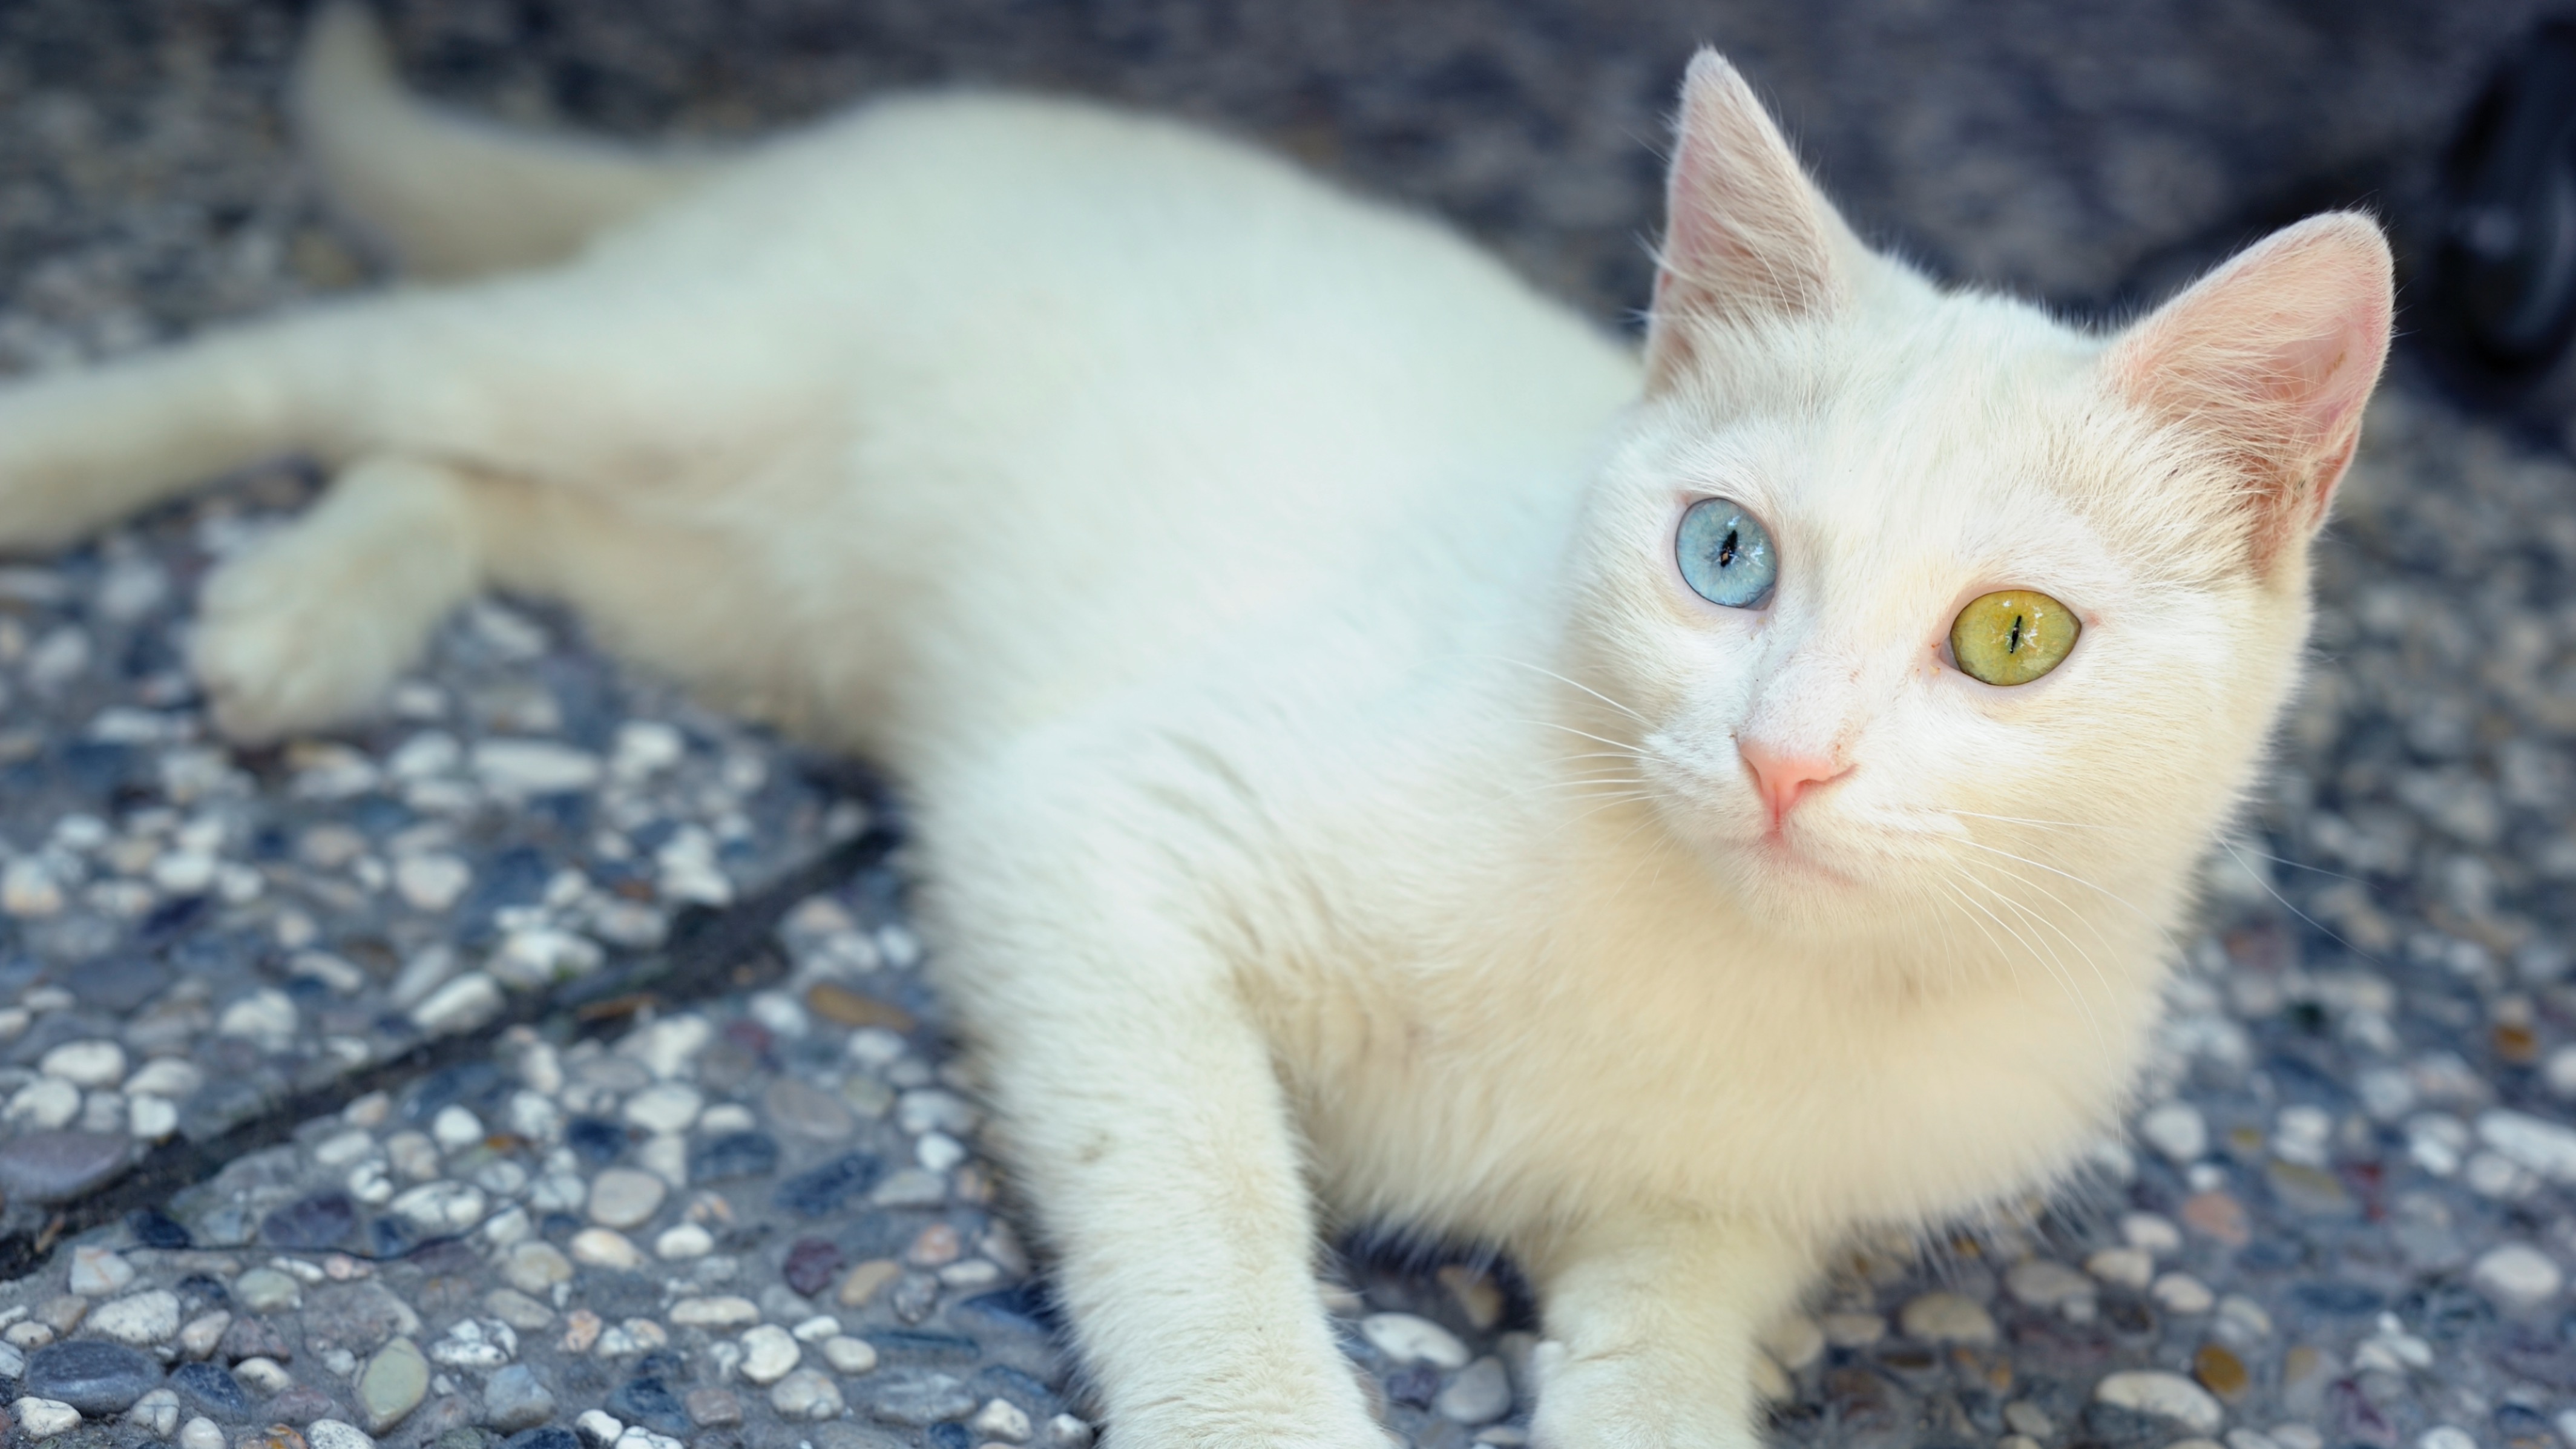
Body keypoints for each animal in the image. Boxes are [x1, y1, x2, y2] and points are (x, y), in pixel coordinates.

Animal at [0, 14, 2390, 1444]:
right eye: (1720, 555)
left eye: (2008, 637)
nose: (1783, 758)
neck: (1718, 950)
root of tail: (900, 121)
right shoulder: (1096, 830)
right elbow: (1200, 1192)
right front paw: (1257, 1396)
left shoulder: (1720, 1221)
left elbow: (1660, 1363)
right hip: (678, 371)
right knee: (347, 362)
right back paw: (87, 480)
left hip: (737, 585)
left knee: (460, 473)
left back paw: (308, 618)